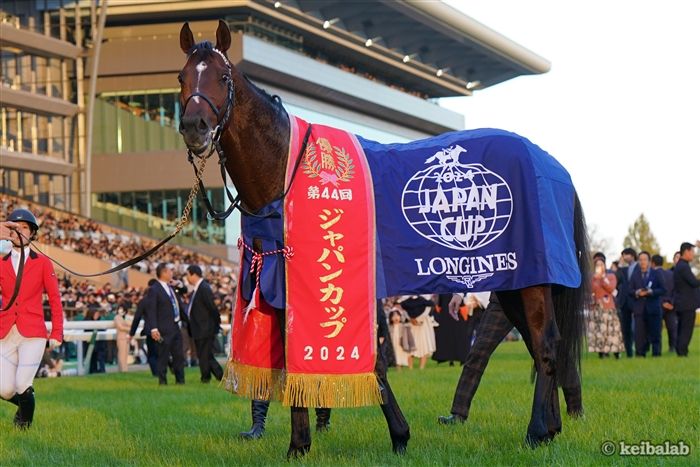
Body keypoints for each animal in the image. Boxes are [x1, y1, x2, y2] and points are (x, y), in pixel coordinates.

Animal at [176, 20, 590, 457]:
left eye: (223, 78)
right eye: (182, 77)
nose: (194, 128)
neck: (287, 173)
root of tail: (552, 165)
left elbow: (371, 359)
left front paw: (396, 434)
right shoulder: (281, 280)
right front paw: (301, 443)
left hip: (530, 278)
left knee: (546, 344)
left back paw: (536, 430)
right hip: (513, 281)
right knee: (539, 345)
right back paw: (550, 427)